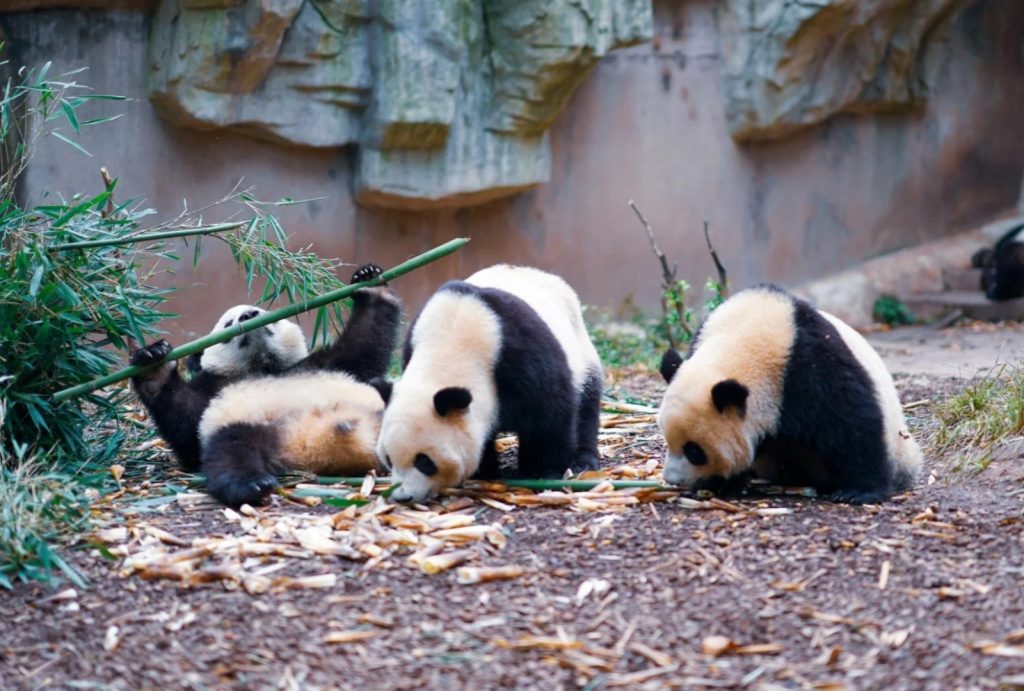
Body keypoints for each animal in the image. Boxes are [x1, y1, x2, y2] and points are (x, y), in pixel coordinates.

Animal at [131, 264, 401, 506]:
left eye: (260, 311)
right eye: (228, 324)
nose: (249, 316)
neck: (259, 367)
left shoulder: (319, 365)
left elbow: (362, 349)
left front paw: (370, 282)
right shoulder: (214, 391)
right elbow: (187, 429)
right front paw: (154, 365)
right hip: (250, 427)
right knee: (230, 452)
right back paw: (252, 486)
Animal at [374, 264, 604, 504]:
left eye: (424, 461)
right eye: (388, 459)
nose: (403, 497)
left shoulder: (519, 352)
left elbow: (549, 413)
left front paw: (541, 472)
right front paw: (486, 471)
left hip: (579, 345)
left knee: (586, 403)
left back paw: (583, 461)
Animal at [657, 284, 922, 504]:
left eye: (694, 451)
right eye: (668, 440)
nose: (672, 479)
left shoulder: (810, 365)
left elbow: (852, 421)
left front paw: (858, 492)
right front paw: (718, 483)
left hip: (899, 444)